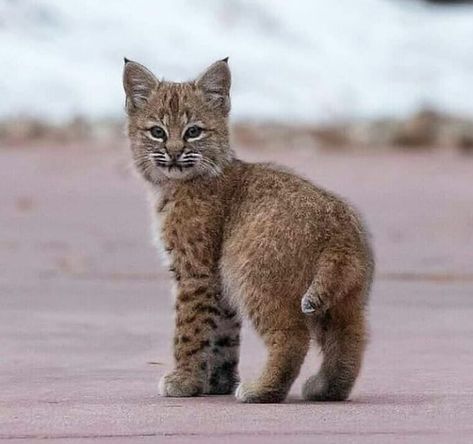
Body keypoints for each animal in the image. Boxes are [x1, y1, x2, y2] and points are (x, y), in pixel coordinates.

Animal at [121, 58, 372, 402]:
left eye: (193, 132)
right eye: (157, 132)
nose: (173, 153)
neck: (173, 184)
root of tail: (338, 226)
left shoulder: (196, 272)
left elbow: (190, 329)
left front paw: (184, 381)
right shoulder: (218, 280)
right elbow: (224, 334)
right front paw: (217, 383)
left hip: (251, 273)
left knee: (292, 336)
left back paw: (261, 389)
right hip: (342, 296)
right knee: (351, 337)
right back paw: (326, 388)